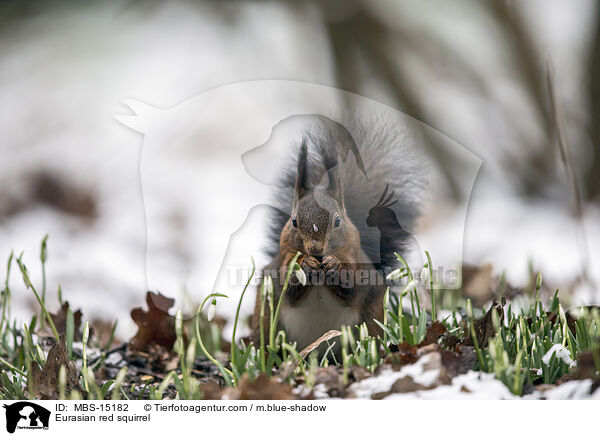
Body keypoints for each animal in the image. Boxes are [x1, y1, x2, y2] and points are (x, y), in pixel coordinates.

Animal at [251, 115, 424, 354]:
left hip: (371, 319)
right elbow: (288, 284)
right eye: (294, 221)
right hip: (268, 321)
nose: (316, 250)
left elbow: (352, 285)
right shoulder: (283, 261)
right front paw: (306, 265)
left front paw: (334, 265)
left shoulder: (357, 262)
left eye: (337, 221)